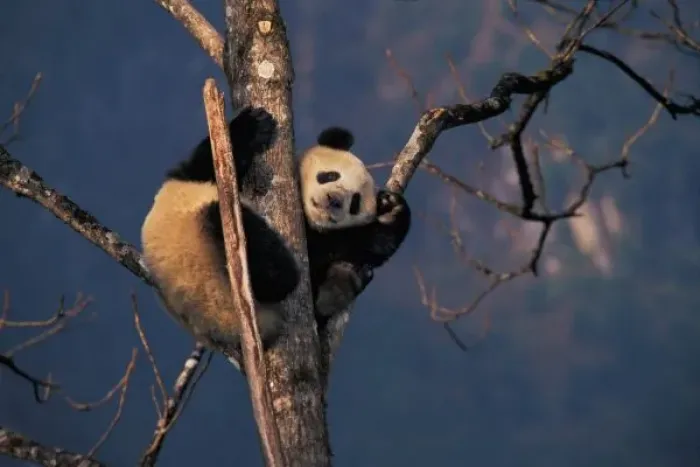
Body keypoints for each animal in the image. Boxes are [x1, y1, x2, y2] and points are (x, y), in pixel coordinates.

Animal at [141, 107, 411, 355]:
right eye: (330, 175)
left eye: (354, 203)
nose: (333, 200)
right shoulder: (198, 179)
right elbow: (208, 163)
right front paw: (253, 124)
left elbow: (346, 245)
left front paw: (393, 212)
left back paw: (338, 285)